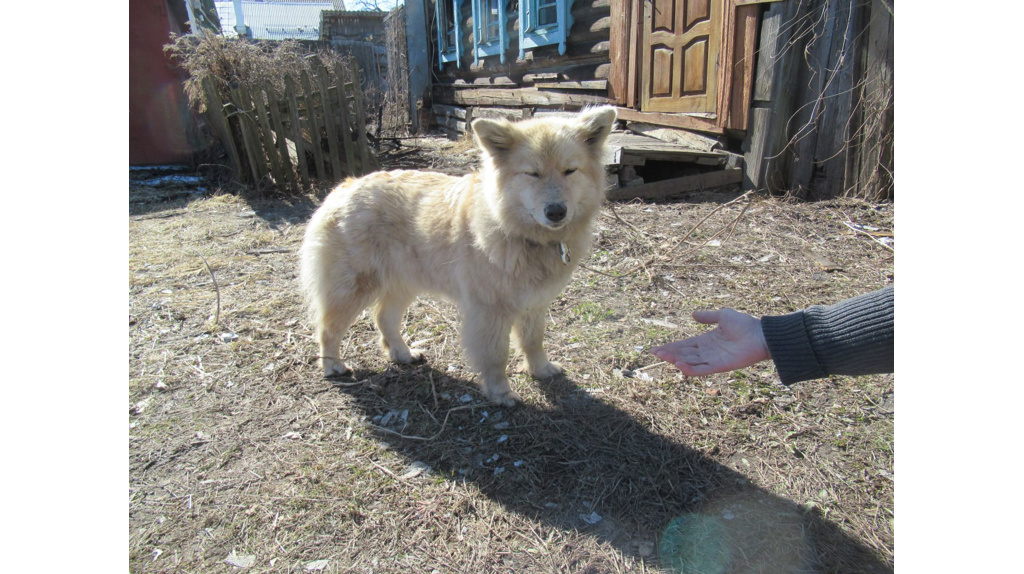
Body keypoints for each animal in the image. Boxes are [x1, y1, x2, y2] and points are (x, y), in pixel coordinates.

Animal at [296, 105, 614, 405]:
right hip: (353, 289)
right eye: (532, 173)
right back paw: (333, 366)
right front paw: (500, 393)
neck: (518, 231)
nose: (556, 211)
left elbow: (533, 341)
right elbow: (496, 355)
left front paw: (540, 370)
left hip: (403, 284)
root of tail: (343, 187)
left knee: (384, 318)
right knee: (328, 328)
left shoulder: (534, 303)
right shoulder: (489, 311)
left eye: (570, 171)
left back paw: (403, 354)